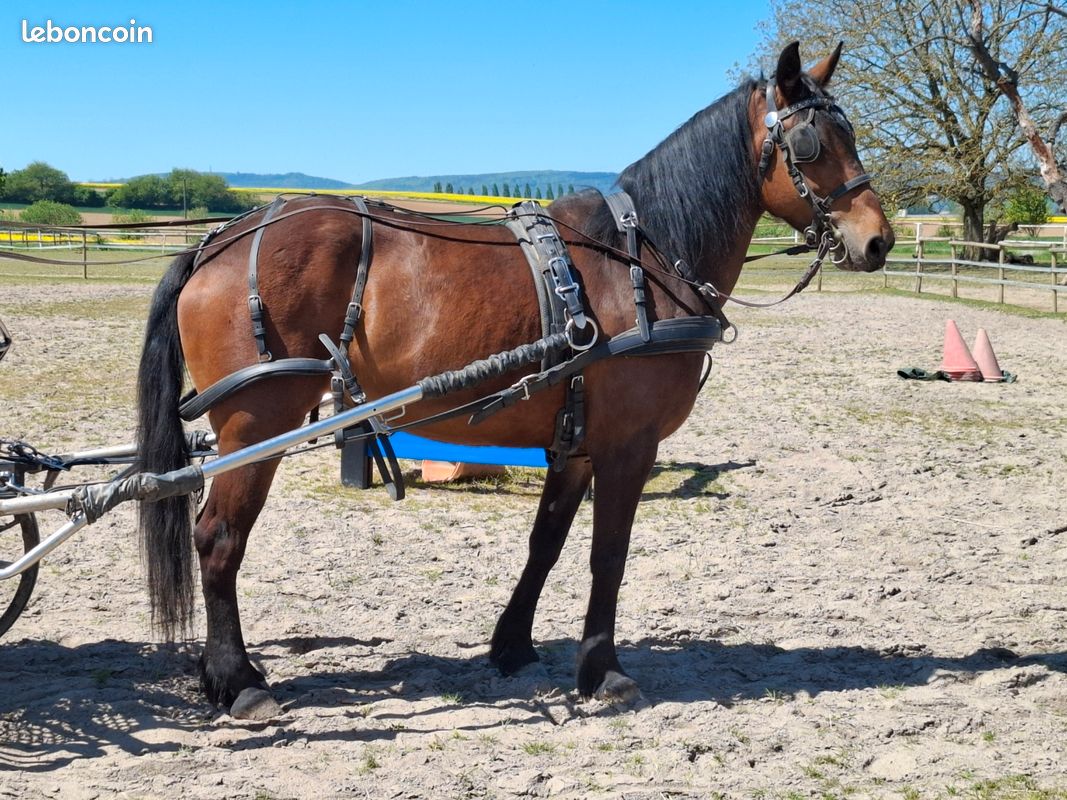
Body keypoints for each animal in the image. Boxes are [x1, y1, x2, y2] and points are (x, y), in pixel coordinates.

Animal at [136, 41, 895, 710]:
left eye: (850, 133)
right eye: (811, 143)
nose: (878, 241)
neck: (642, 261)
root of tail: (218, 242)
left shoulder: (577, 441)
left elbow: (547, 543)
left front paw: (512, 646)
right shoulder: (629, 445)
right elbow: (608, 554)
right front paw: (603, 672)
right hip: (257, 425)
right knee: (218, 538)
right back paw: (239, 682)